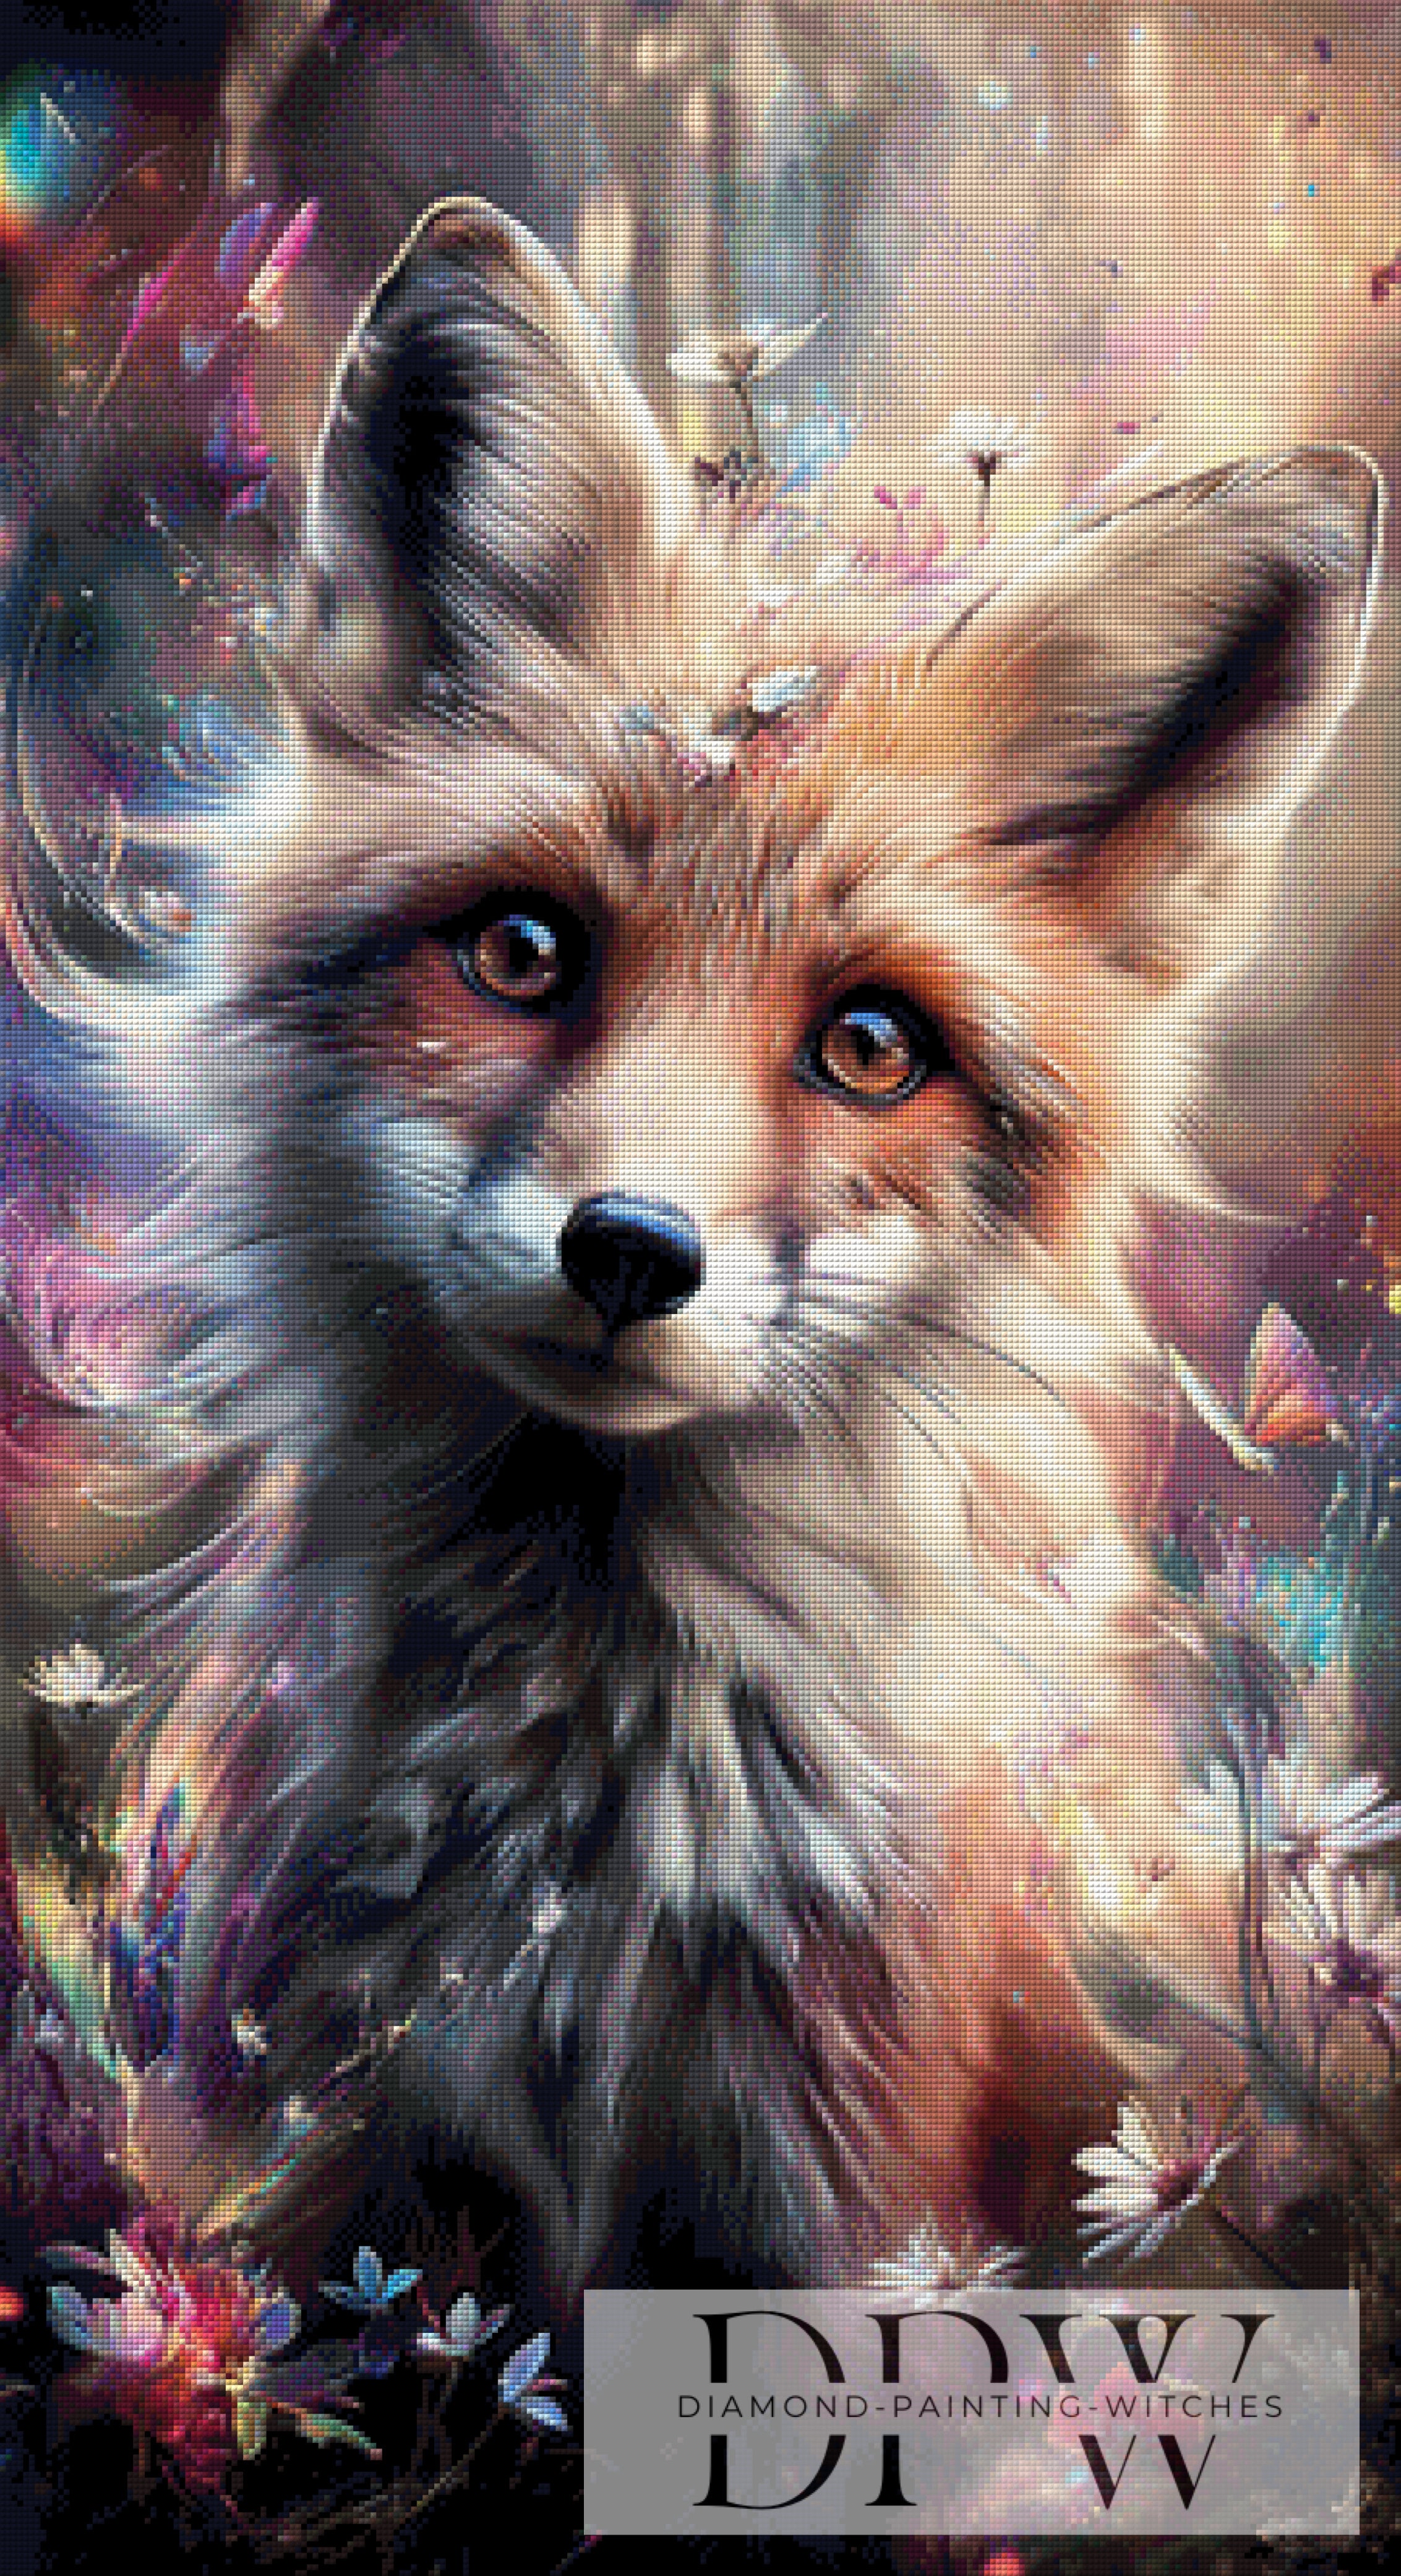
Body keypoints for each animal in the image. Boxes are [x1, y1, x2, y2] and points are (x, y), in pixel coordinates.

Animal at [1, 188, 1396, 2308]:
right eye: (520, 950)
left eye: (871, 1046)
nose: (631, 1252)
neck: (585, 1876)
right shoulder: (354, 2185)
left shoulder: (844, 2215)